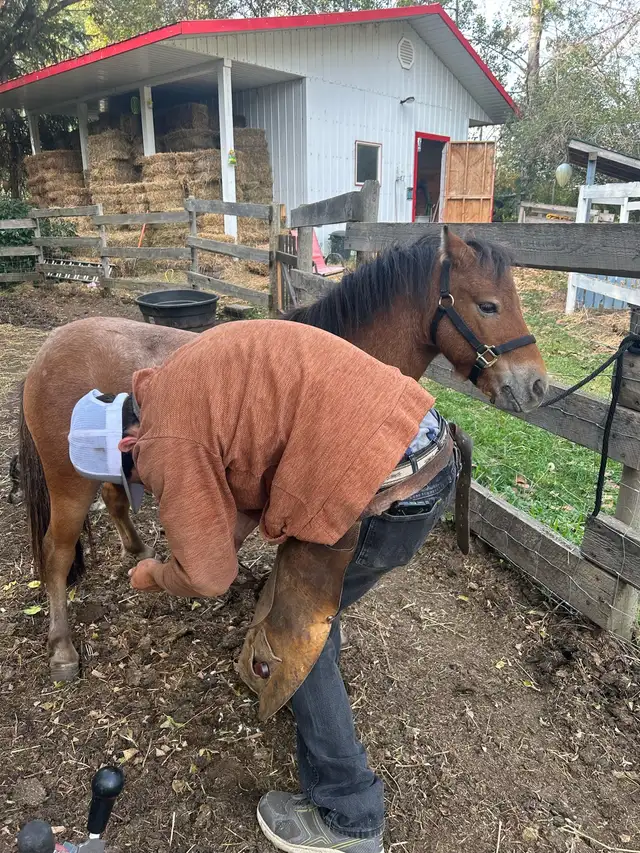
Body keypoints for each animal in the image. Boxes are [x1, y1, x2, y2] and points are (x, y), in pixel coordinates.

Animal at [18, 227, 548, 682]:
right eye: (489, 305)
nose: (537, 385)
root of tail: (45, 353)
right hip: (68, 485)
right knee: (56, 554)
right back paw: (62, 646)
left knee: (114, 501)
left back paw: (137, 551)